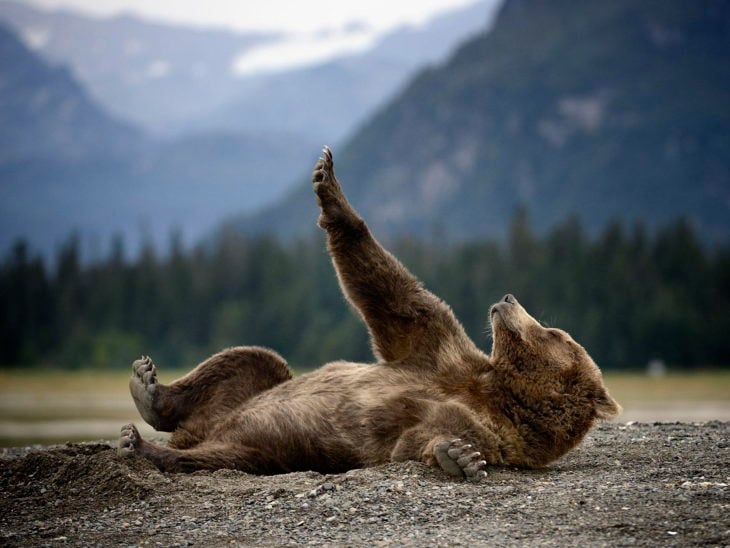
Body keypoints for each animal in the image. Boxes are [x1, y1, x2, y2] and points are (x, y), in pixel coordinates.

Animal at [116, 146, 616, 480]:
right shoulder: (438, 350)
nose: (509, 299)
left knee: (225, 456)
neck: (499, 390)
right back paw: (148, 388)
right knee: (253, 360)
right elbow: (395, 297)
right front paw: (328, 182)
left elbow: (420, 438)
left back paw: (144, 447)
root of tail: (202, 431)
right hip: (247, 396)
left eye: (554, 333)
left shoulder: (489, 427)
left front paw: (459, 457)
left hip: (275, 448)